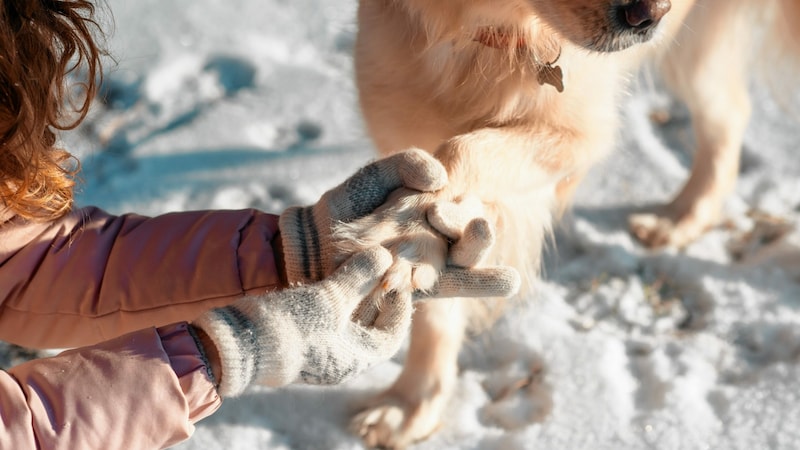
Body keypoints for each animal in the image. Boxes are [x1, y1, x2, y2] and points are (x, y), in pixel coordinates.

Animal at [338, 1, 800, 448]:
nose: (650, 15)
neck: (483, 31)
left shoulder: (578, 132)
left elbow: (458, 152)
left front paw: (399, 231)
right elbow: (435, 294)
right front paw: (409, 407)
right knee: (728, 111)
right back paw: (683, 218)